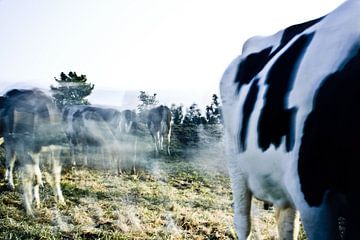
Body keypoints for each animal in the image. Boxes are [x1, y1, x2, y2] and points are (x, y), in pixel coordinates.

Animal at [0, 89, 66, 217]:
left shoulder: (53, 151)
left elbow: (53, 175)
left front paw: (60, 200)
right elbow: (33, 176)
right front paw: (30, 206)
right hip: (10, 142)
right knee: (10, 162)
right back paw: (10, 184)